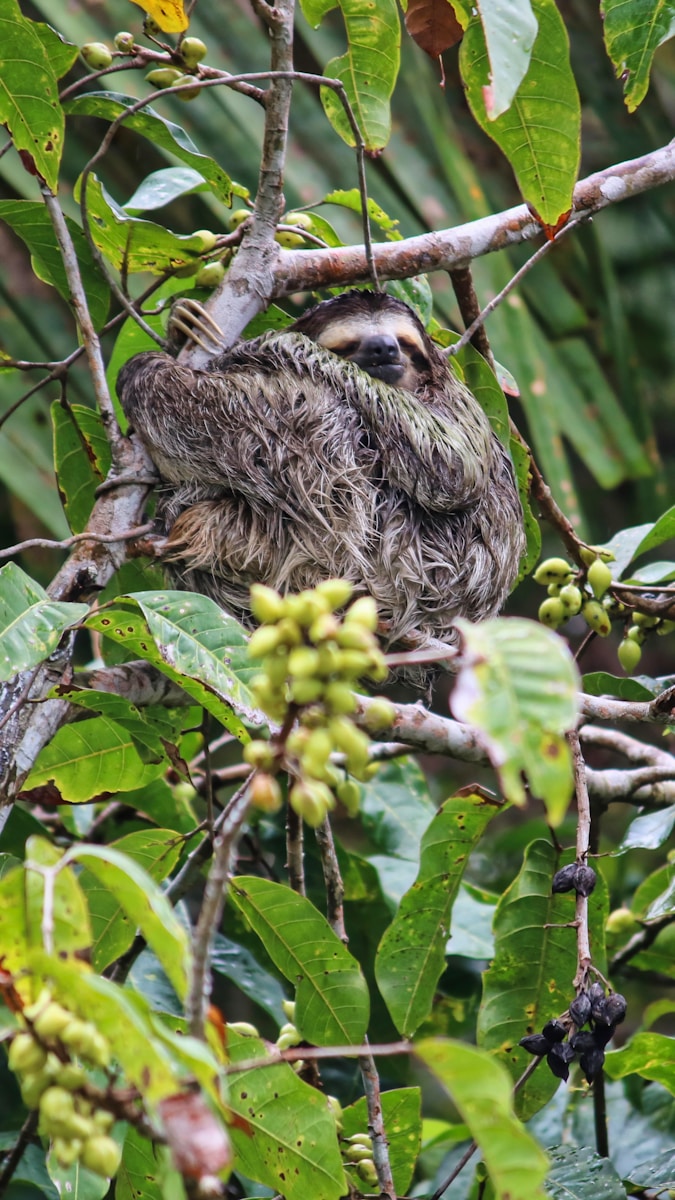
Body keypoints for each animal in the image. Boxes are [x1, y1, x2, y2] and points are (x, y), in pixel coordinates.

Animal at [117, 290, 525, 658]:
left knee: (310, 411)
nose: (384, 348)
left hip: (398, 563)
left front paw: (279, 343)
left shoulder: (456, 399)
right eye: (351, 343)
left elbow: (455, 465)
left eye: (404, 343)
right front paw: (182, 324)